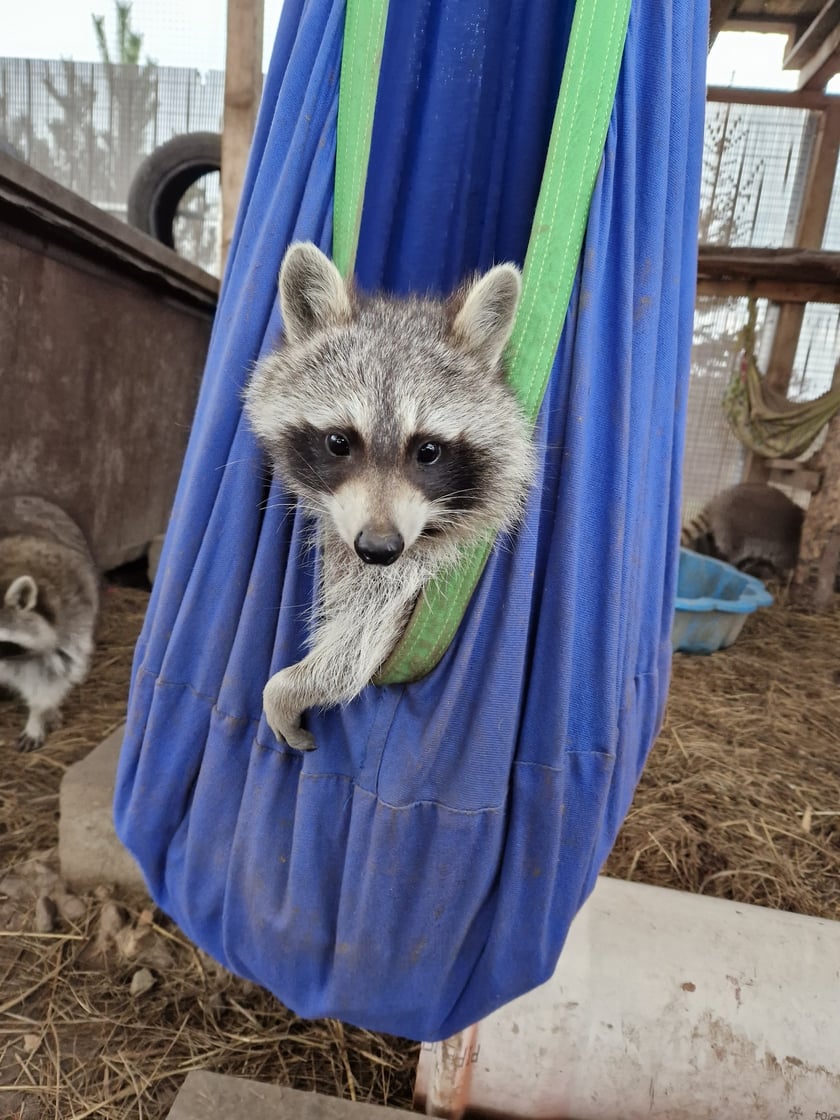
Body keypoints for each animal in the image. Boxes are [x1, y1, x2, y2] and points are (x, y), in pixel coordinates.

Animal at [243, 240, 535, 748]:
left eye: (429, 451)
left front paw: (293, 685)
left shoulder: (429, 560)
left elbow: (366, 636)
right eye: (338, 442)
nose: (379, 548)